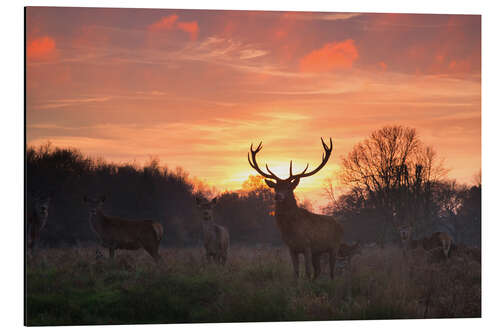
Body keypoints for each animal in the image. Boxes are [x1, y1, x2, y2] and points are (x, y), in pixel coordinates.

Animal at [249, 136, 344, 278]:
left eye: (289, 187)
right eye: (275, 187)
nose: (278, 196)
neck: (291, 230)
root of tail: (340, 225)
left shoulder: (307, 245)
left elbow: (308, 272)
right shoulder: (291, 248)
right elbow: (296, 272)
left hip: (335, 246)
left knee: (332, 271)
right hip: (318, 252)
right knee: (318, 270)